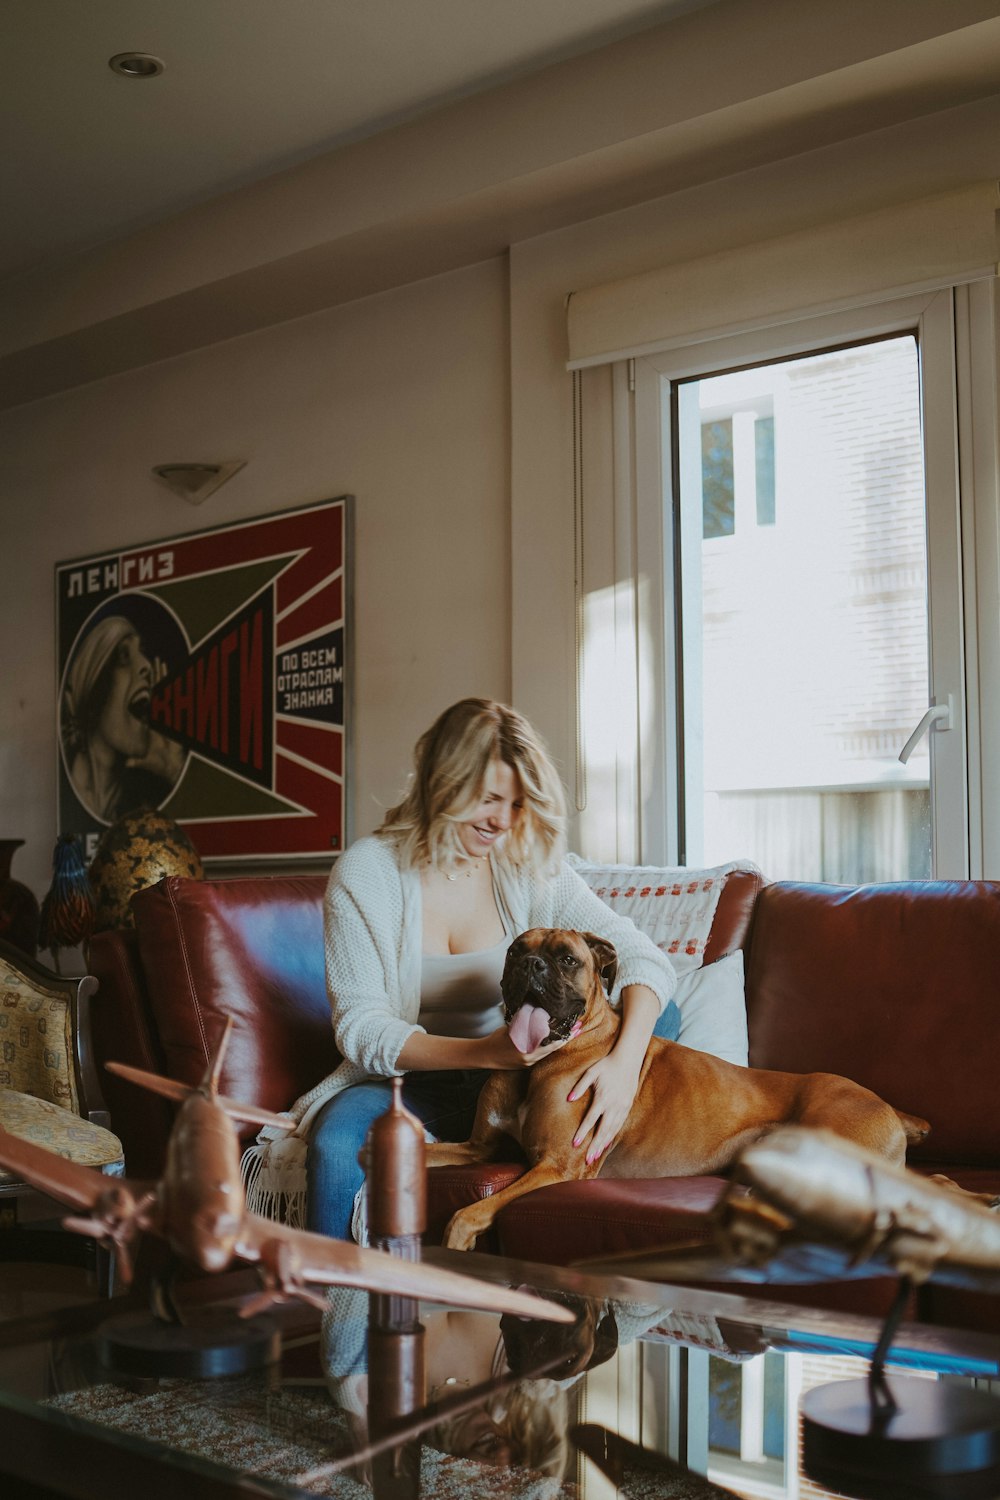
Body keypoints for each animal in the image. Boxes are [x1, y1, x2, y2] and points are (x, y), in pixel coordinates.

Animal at [425, 924, 929, 1254]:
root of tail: (886, 1105)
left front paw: (455, 1243)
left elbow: (470, 1212)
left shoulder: (556, 1166)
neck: (544, 1060)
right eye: (514, 952)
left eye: (567, 958)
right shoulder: (477, 1148)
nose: (530, 964)